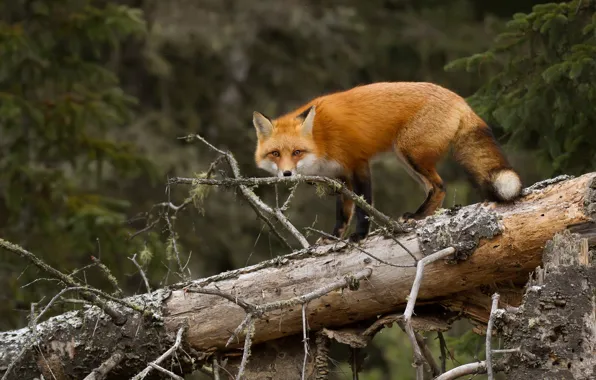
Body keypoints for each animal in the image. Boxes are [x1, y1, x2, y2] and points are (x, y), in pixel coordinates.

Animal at [251, 83, 520, 242]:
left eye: (297, 152)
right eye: (275, 154)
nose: (286, 174)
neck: (322, 138)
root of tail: (460, 100)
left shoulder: (358, 164)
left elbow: (363, 207)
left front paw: (359, 236)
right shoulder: (339, 176)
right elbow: (343, 212)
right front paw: (334, 238)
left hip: (409, 152)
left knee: (440, 186)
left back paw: (417, 217)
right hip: (406, 159)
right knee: (434, 187)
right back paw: (421, 215)